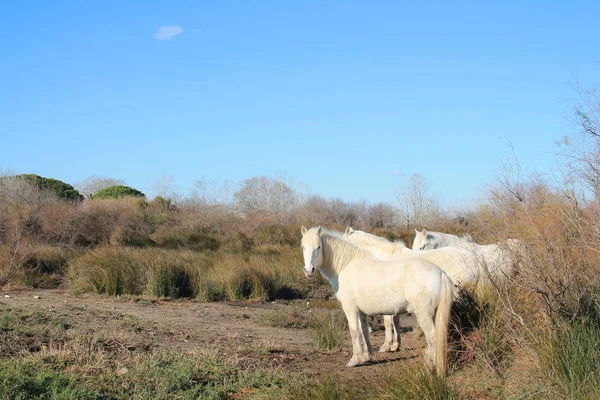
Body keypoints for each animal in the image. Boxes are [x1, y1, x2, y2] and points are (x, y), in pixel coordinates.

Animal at [302, 227, 452, 376]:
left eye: (318, 247)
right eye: (303, 247)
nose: (309, 271)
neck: (347, 265)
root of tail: (440, 273)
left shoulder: (350, 308)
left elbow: (354, 331)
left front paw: (355, 360)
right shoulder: (361, 311)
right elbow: (364, 331)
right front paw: (367, 356)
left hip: (423, 315)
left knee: (433, 337)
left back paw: (430, 367)